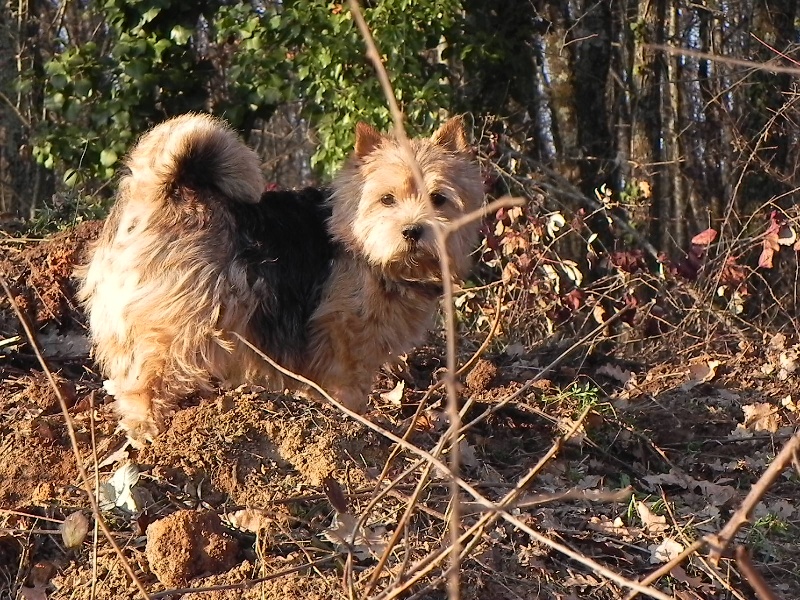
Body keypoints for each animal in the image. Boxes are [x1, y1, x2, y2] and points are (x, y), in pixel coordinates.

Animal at [78, 112, 484, 440]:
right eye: (387, 200)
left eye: (439, 198)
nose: (413, 231)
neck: (362, 243)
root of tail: (164, 192)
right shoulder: (342, 334)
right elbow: (348, 385)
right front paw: (354, 422)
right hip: (182, 320)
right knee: (145, 377)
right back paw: (147, 429)